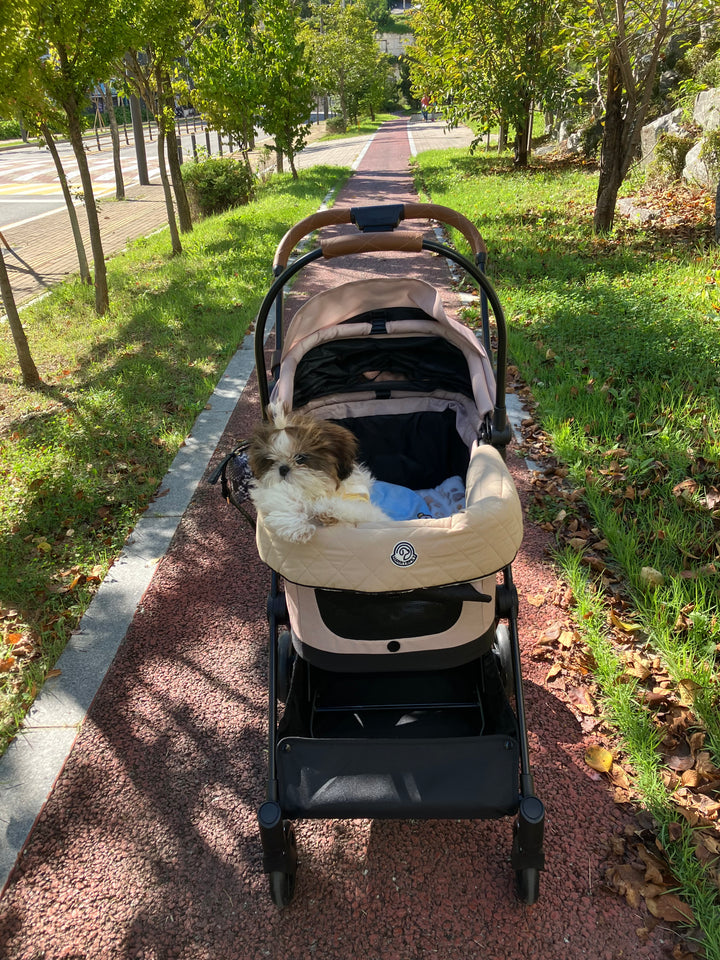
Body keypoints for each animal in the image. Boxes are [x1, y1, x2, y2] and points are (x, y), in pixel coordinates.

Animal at [248, 402, 388, 544]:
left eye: (300, 458)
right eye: (271, 461)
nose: (283, 468)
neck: (316, 490)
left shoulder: (363, 504)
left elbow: (355, 509)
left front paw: (327, 510)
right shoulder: (266, 490)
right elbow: (282, 495)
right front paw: (299, 528)